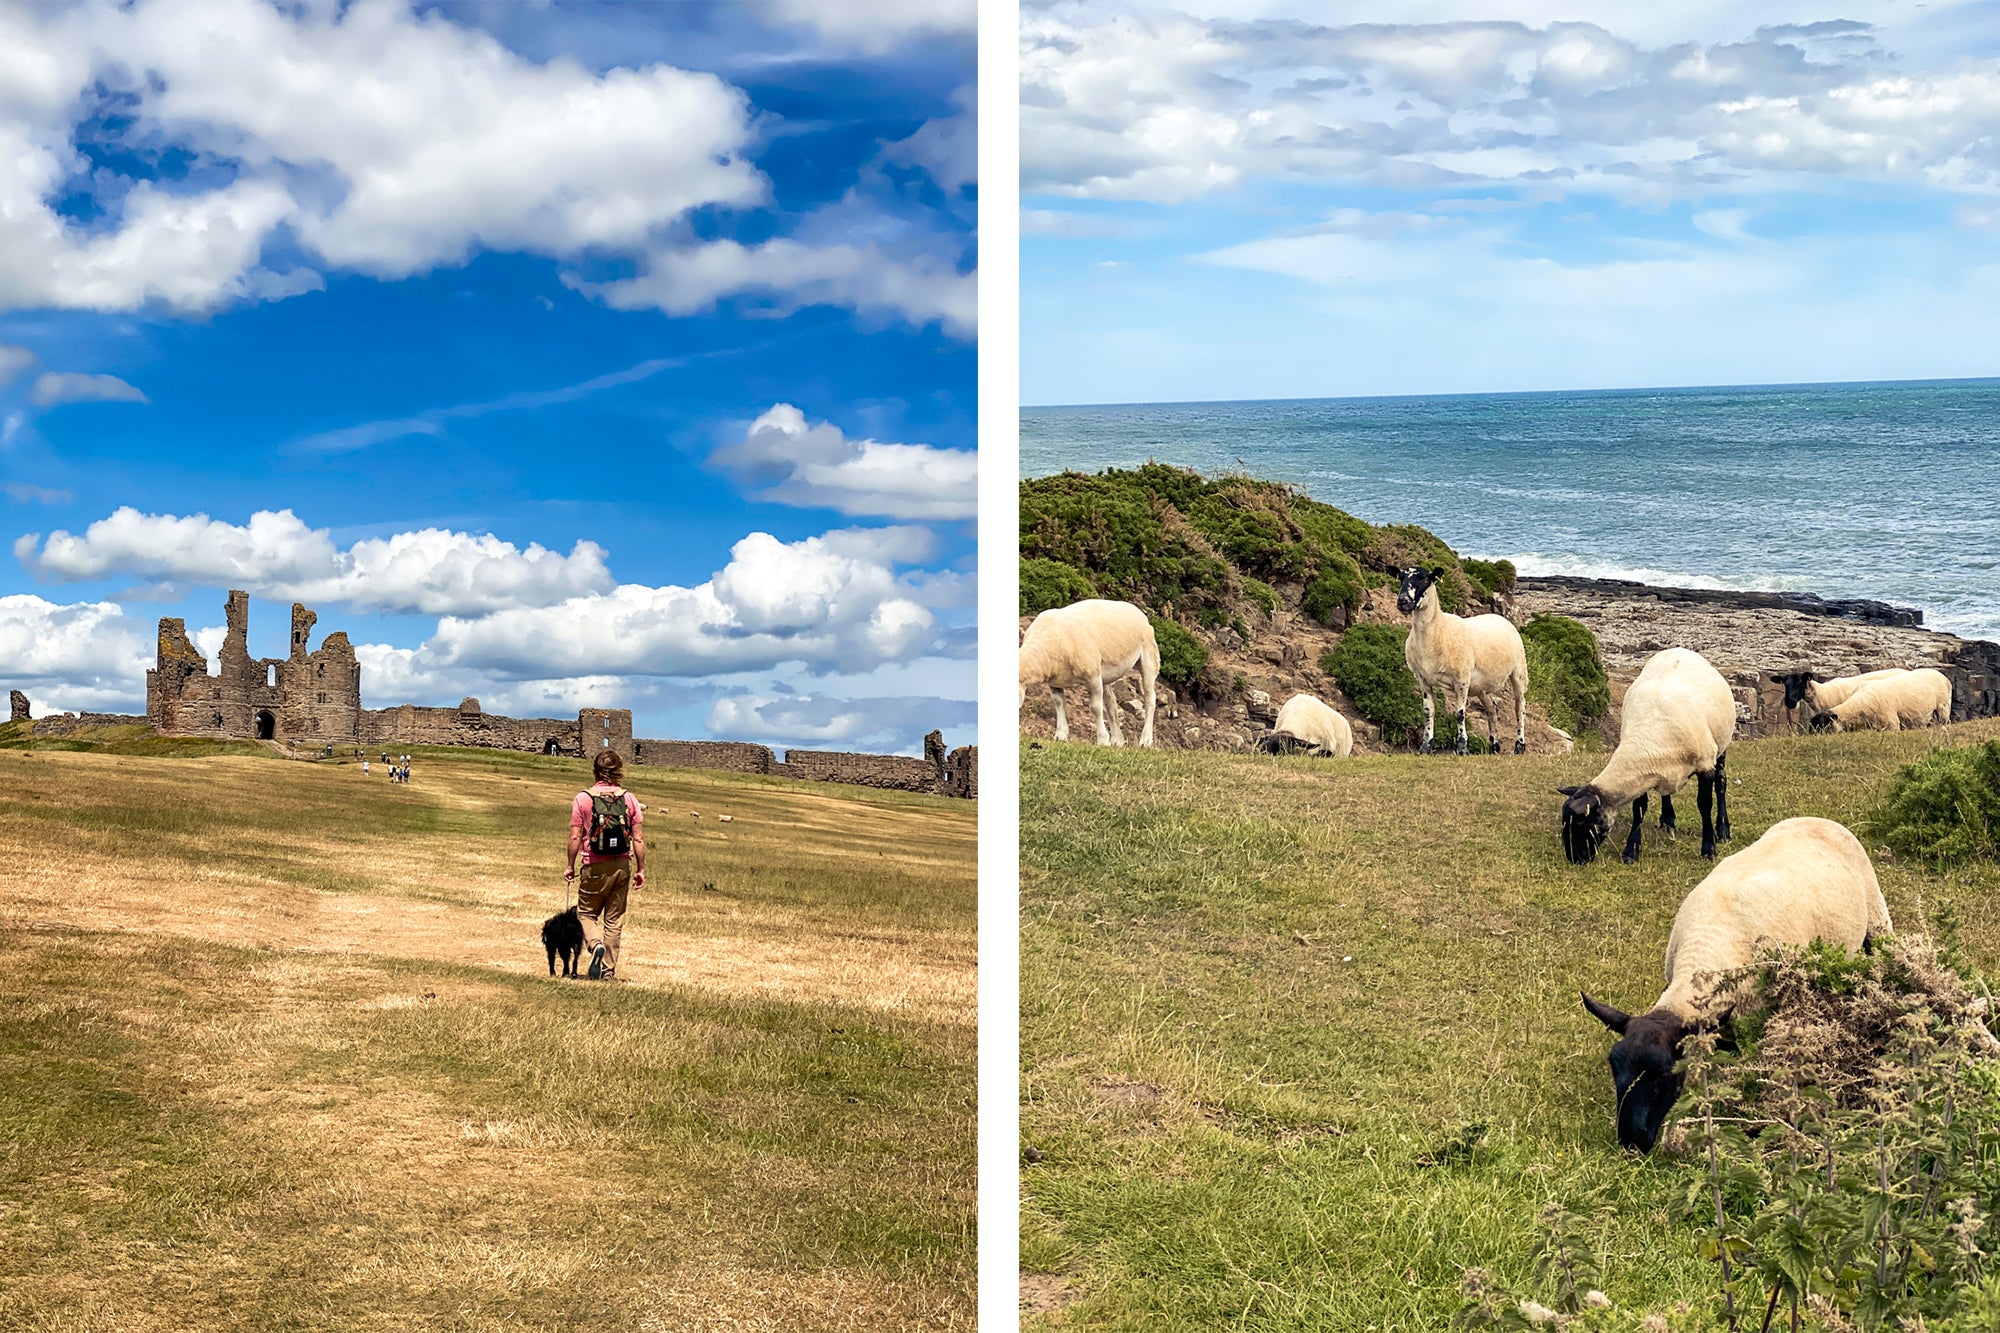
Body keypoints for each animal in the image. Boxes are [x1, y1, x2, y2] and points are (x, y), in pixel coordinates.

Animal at [1016, 592, 1160, 740]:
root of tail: (1138, 611)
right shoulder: (1055, 682)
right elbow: (1059, 703)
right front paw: (1061, 735)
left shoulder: (1093, 676)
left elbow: (1095, 708)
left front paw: (1103, 739)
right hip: (1105, 674)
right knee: (1111, 702)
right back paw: (1117, 740)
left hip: (1148, 656)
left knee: (1150, 698)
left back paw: (1145, 739)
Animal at [1392, 560, 1528, 748]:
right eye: (1401, 578)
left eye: (1425, 580)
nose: (1402, 601)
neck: (1438, 629)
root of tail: (1501, 618)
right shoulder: (1422, 678)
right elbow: (1428, 711)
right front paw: (1426, 746)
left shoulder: (1461, 679)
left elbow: (1460, 713)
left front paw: (1463, 747)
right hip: (1482, 686)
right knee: (1492, 710)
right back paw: (1494, 746)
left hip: (1519, 671)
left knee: (1519, 708)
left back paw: (1520, 745)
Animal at [1560, 644, 1736, 860]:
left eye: (1580, 823)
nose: (1574, 859)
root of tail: (1680, 649)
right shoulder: (1644, 771)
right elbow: (1639, 807)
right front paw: (1631, 850)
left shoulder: (1705, 765)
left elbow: (1704, 805)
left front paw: (1709, 849)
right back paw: (1667, 820)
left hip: (1721, 747)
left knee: (1721, 785)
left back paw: (1723, 830)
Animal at [1576, 816, 1888, 1144]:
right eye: (1614, 1068)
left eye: (1665, 1076)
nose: (1632, 1142)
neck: (1706, 946)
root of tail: (1817, 819)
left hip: (1877, 921)